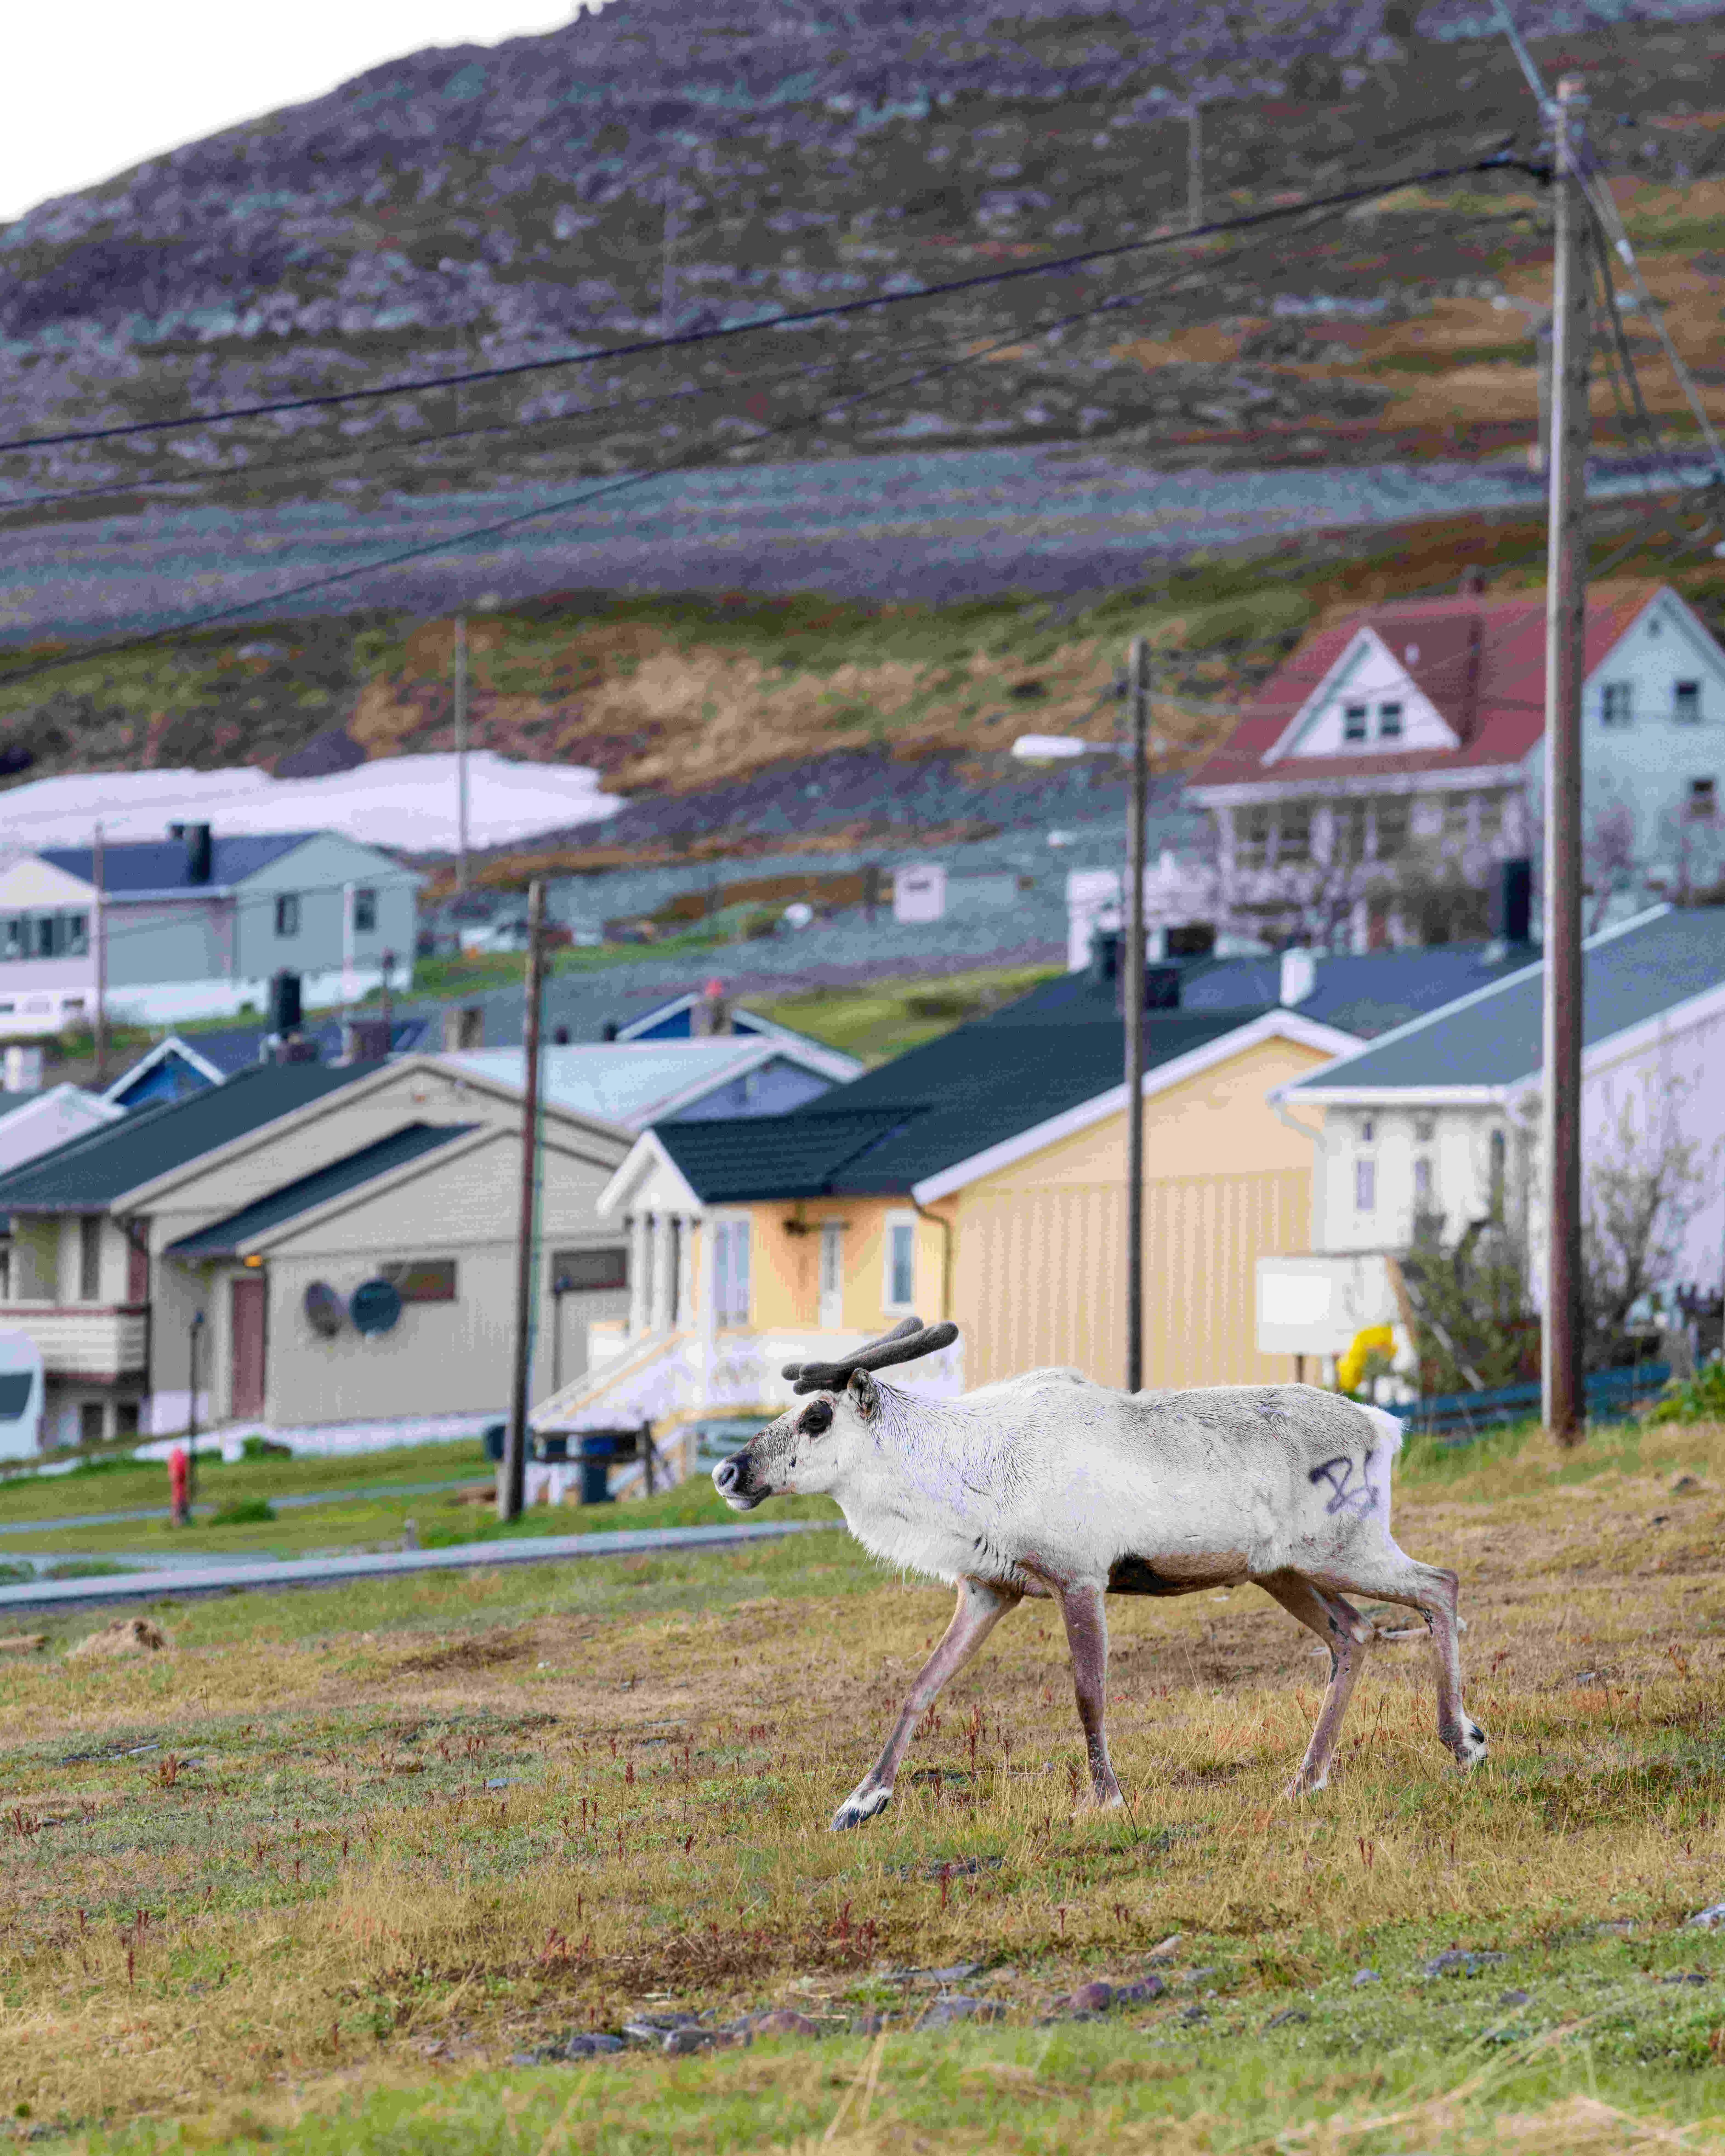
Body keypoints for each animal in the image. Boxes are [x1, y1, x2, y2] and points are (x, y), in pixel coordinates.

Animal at [712, 1318, 1485, 1832]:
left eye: (817, 1415)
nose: (727, 1471)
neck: (965, 1473)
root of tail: (1383, 1426)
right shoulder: (990, 1587)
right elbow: (920, 1688)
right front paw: (860, 1801)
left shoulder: (1079, 1575)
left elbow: (1089, 1693)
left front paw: (1106, 1797)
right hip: (1284, 1570)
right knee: (1353, 1634)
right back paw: (1305, 1780)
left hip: (1344, 1547)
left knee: (1438, 1585)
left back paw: (1462, 1740)